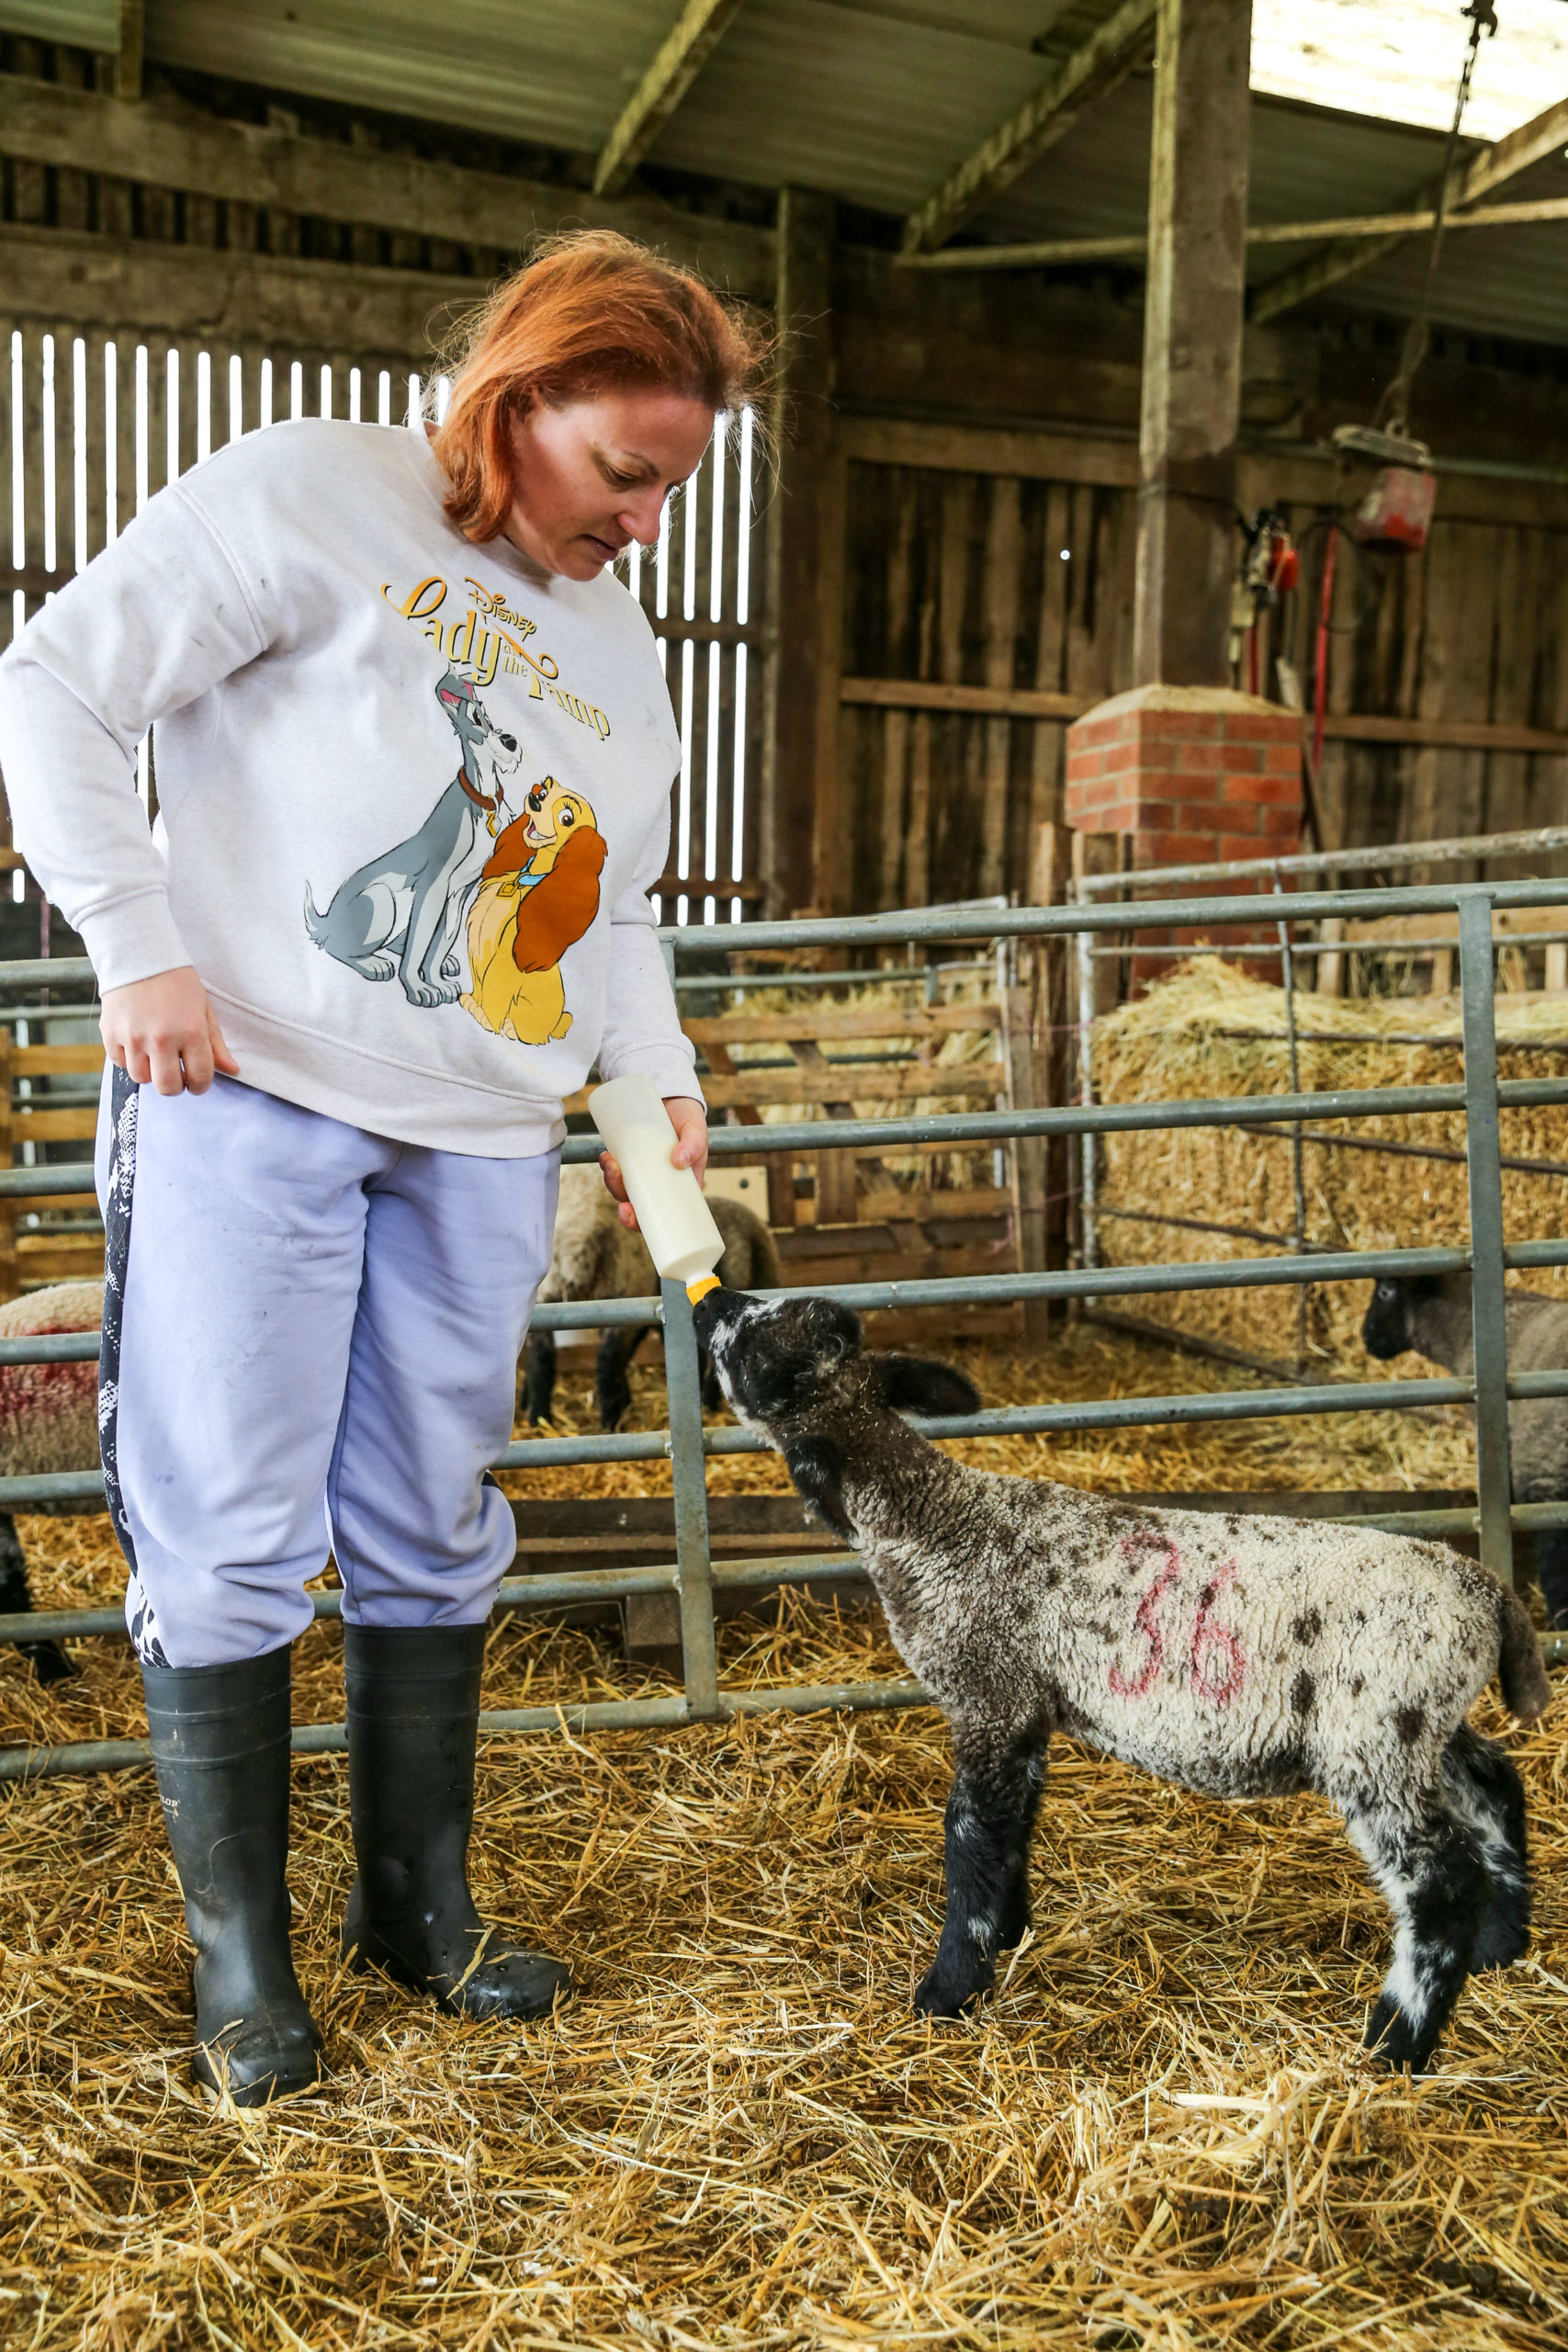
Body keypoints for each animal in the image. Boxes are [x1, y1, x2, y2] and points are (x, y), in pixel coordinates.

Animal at [691, 1288, 1551, 2079]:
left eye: (758, 1343)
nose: (713, 1299)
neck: (935, 1523)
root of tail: (1487, 1594)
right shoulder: (1026, 1709)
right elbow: (1011, 1829)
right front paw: (1009, 1933)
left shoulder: (988, 1693)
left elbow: (969, 1838)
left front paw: (949, 1989)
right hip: (1420, 1723)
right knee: (1493, 1785)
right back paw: (1501, 1944)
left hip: (1375, 1734)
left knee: (1438, 1882)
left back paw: (1396, 2042)